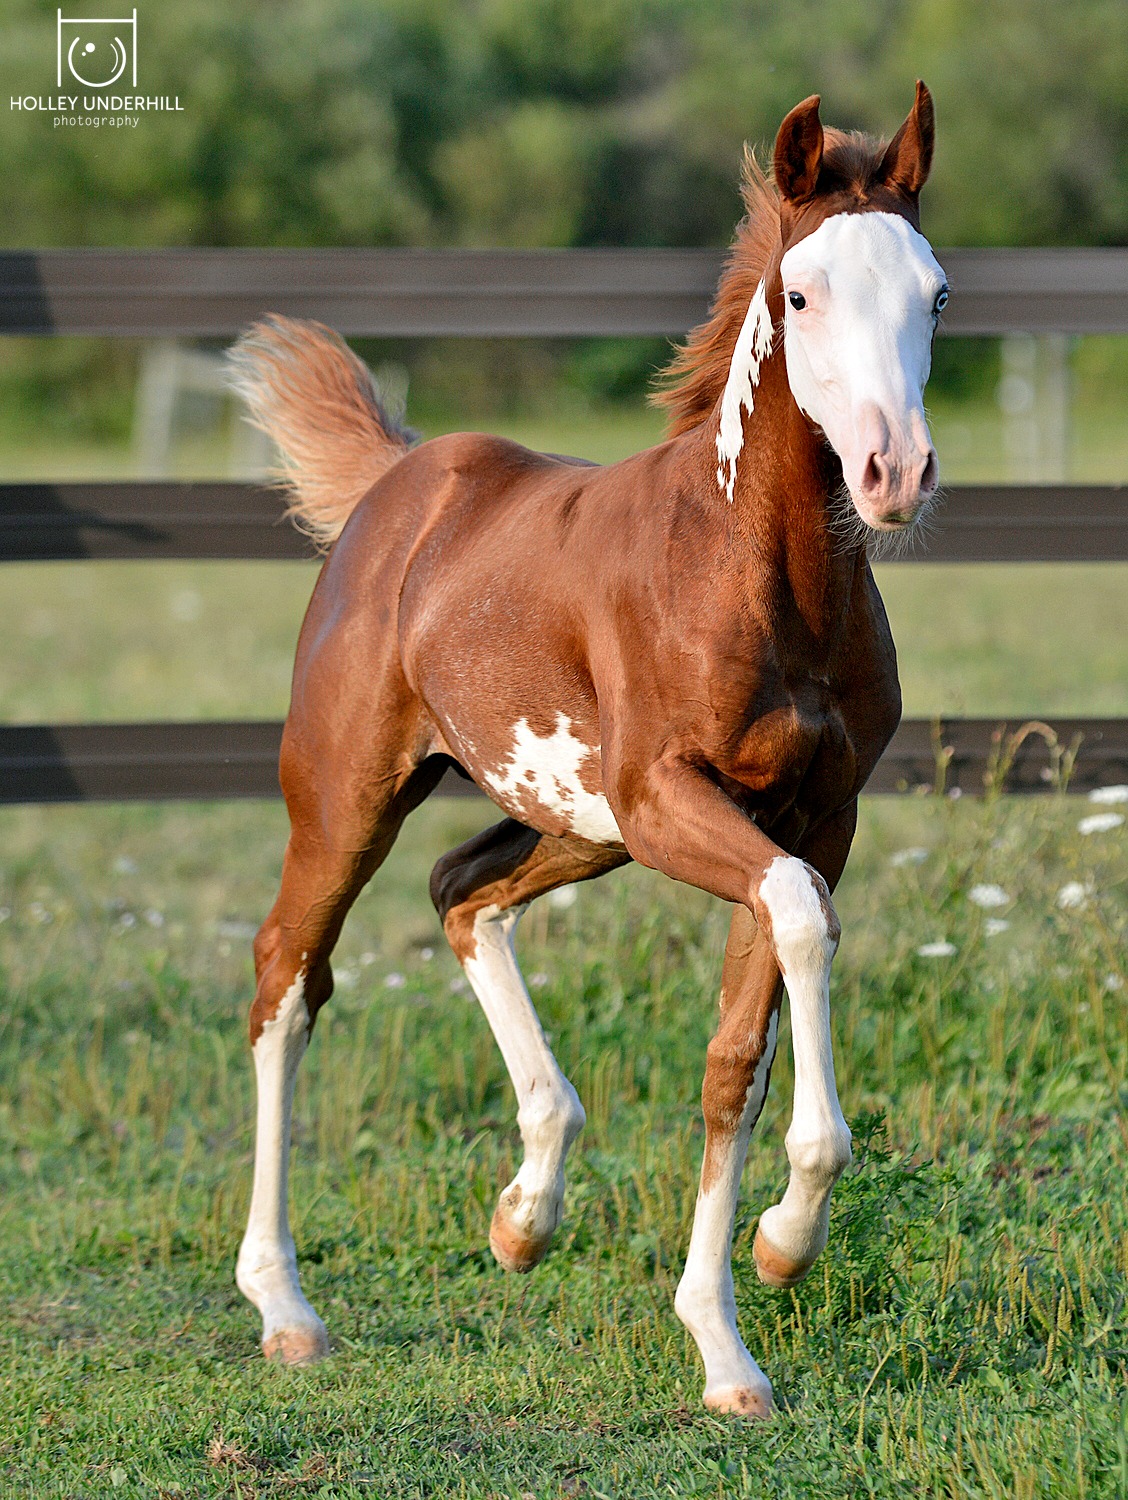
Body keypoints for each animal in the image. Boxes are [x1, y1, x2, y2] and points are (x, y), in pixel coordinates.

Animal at [226, 85, 942, 1416]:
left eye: (935, 295)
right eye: (803, 294)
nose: (896, 471)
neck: (751, 572)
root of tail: (402, 480)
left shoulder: (813, 820)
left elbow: (738, 1058)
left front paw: (737, 1322)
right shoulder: (677, 805)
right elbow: (799, 927)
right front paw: (778, 1250)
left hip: (571, 818)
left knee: (463, 893)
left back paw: (526, 1212)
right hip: (350, 799)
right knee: (287, 983)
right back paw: (285, 1306)